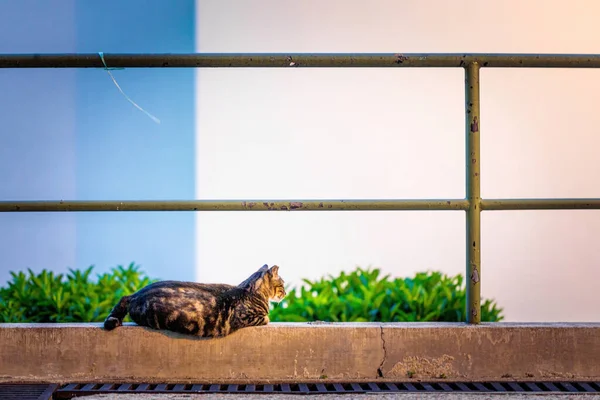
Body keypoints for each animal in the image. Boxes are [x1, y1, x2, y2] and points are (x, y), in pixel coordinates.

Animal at [103, 266, 286, 338]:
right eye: (282, 285)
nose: (285, 292)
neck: (249, 289)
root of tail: (135, 294)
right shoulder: (249, 317)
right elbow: (266, 317)